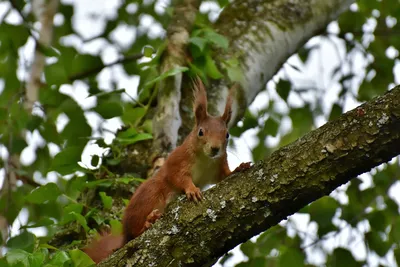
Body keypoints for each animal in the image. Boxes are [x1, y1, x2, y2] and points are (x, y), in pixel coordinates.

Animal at [85, 79, 250, 264]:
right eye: (201, 132)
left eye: (227, 134)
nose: (215, 148)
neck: (205, 159)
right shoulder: (177, 162)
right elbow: (178, 178)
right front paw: (192, 190)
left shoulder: (218, 166)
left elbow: (225, 175)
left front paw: (240, 167)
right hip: (149, 197)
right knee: (134, 234)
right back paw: (147, 223)